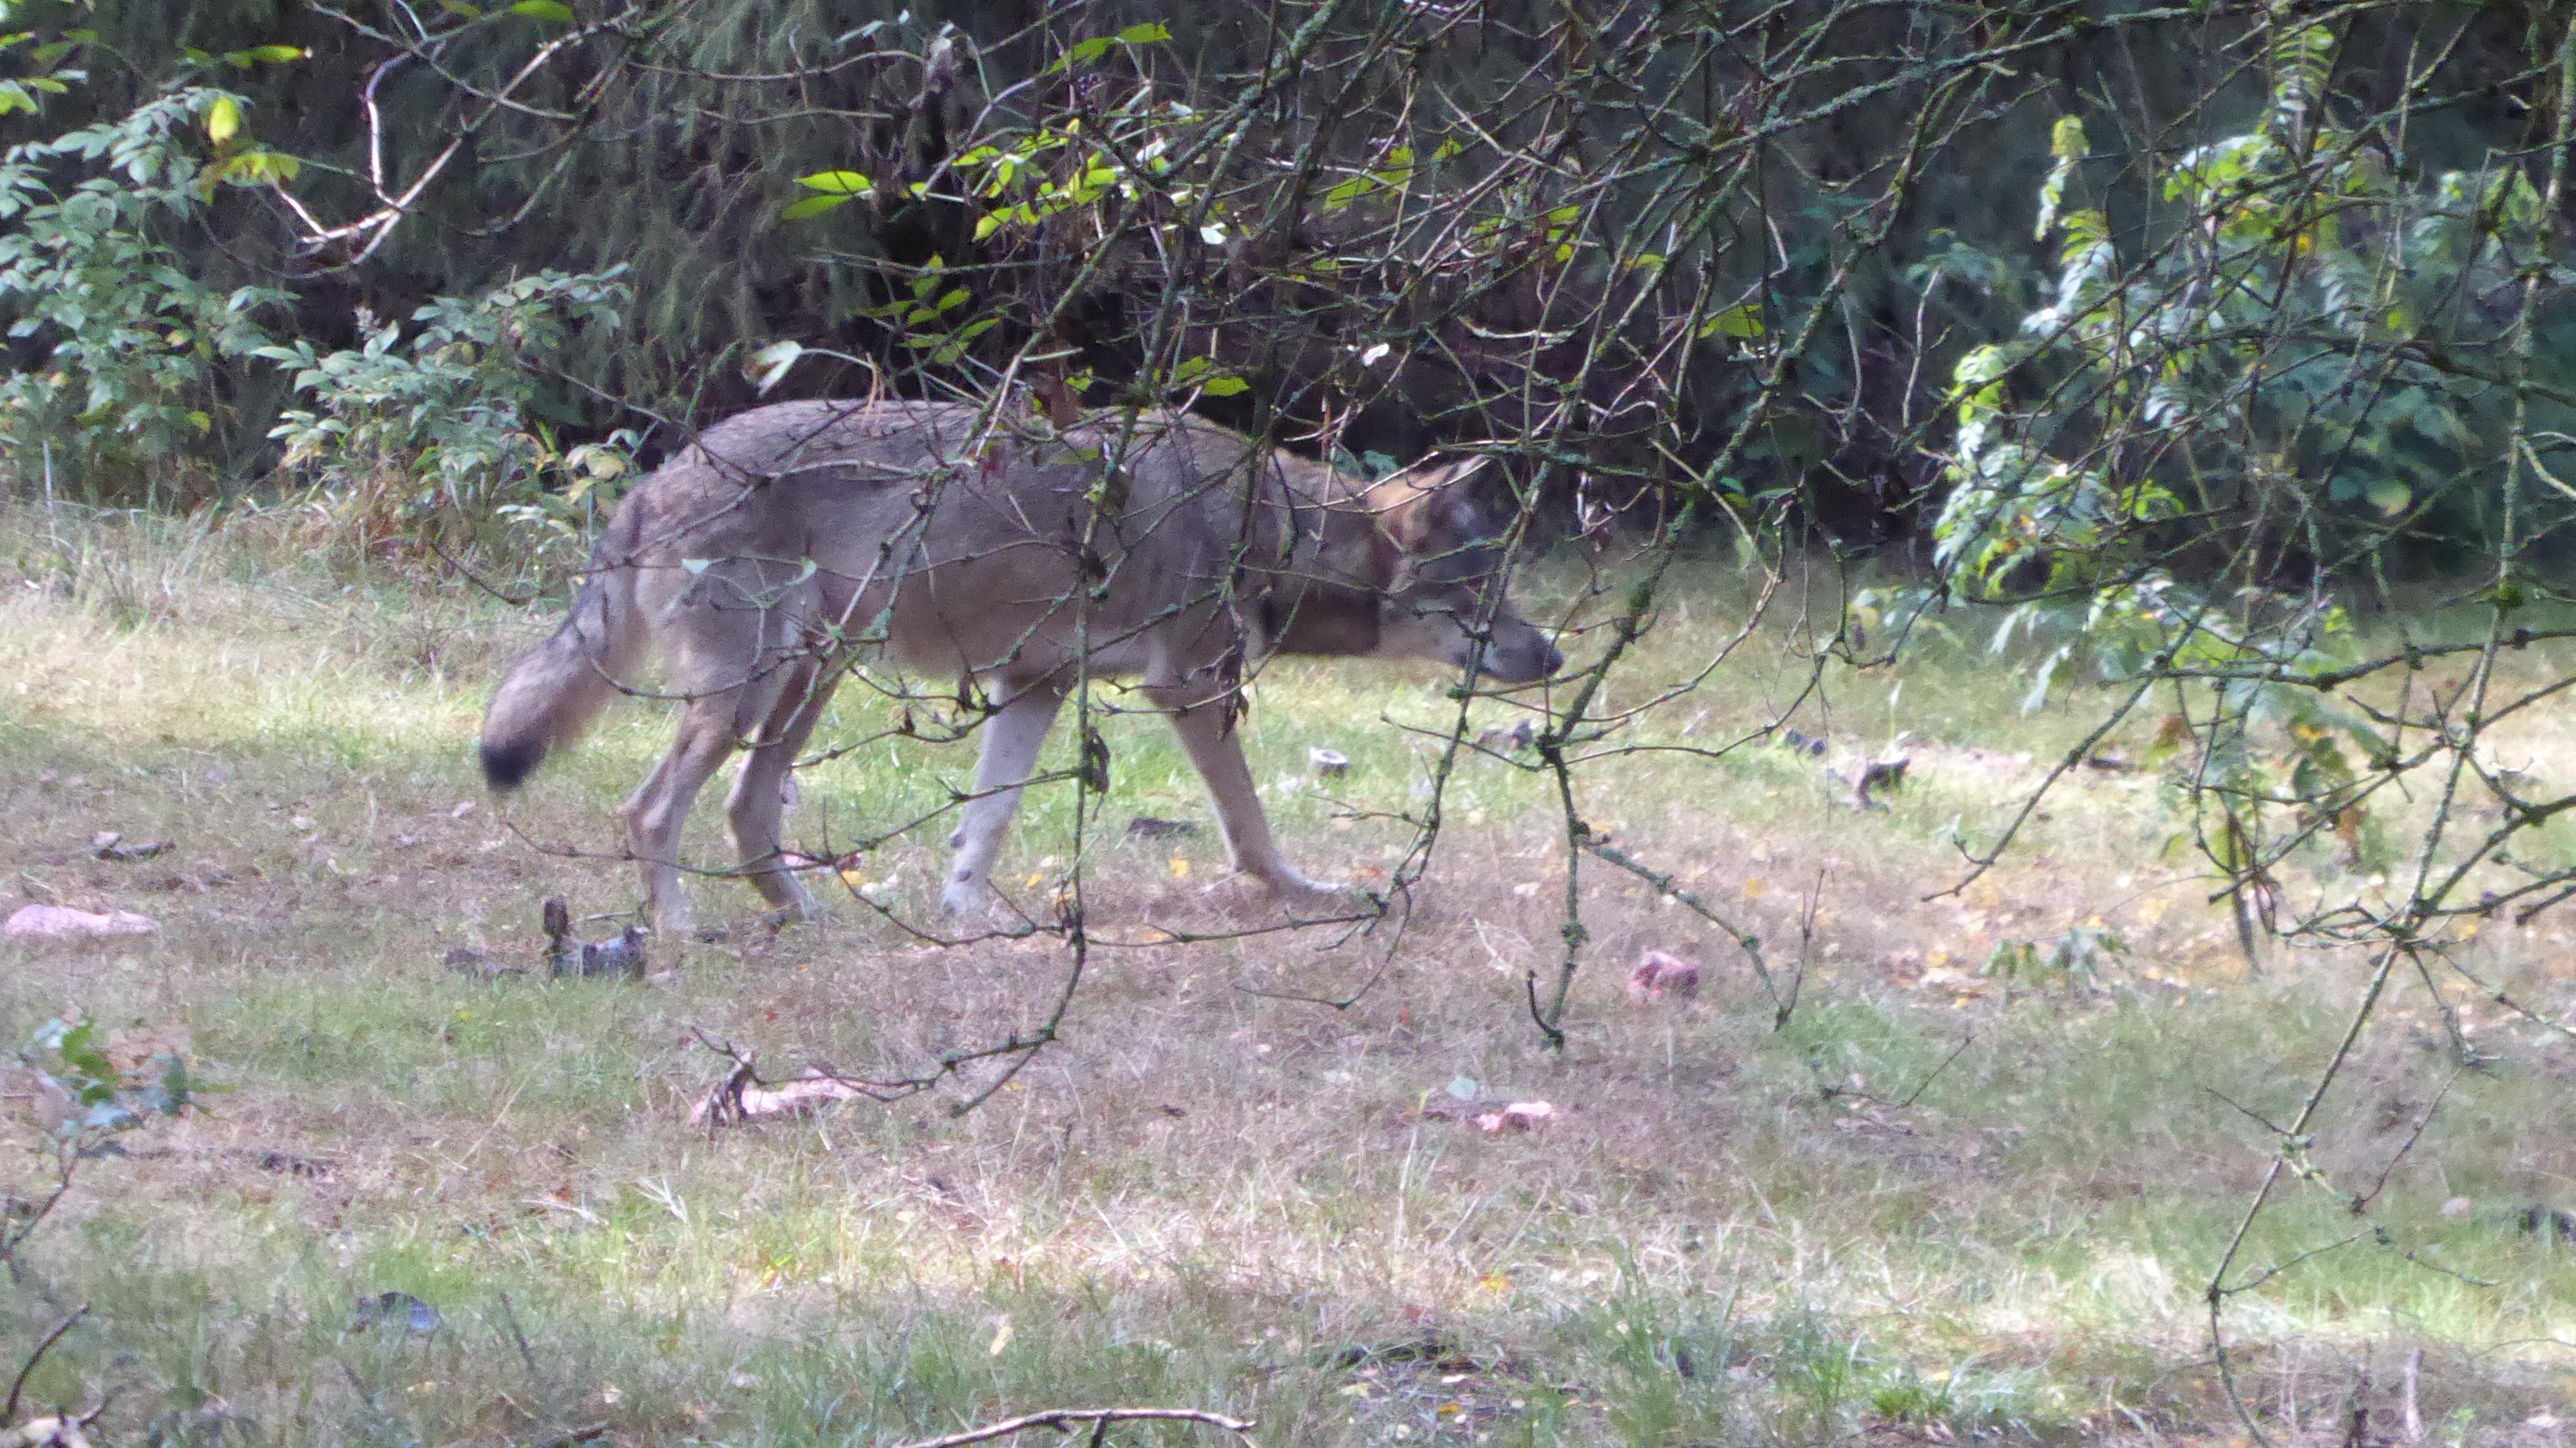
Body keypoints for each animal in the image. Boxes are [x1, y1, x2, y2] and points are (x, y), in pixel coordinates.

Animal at [477, 398, 1560, 930]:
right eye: (1482, 599)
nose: (1550, 653)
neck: (1272, 533)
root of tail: (657, 477)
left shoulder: (1032, 689)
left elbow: (984, 827)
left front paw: (962, 921)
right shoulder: (1190, 690)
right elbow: (1251, 830)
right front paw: (1308, 895)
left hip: (809, 681)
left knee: (747, 809)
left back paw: (806, 918)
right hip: (752, 693)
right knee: (649, 810)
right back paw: (675, 929)